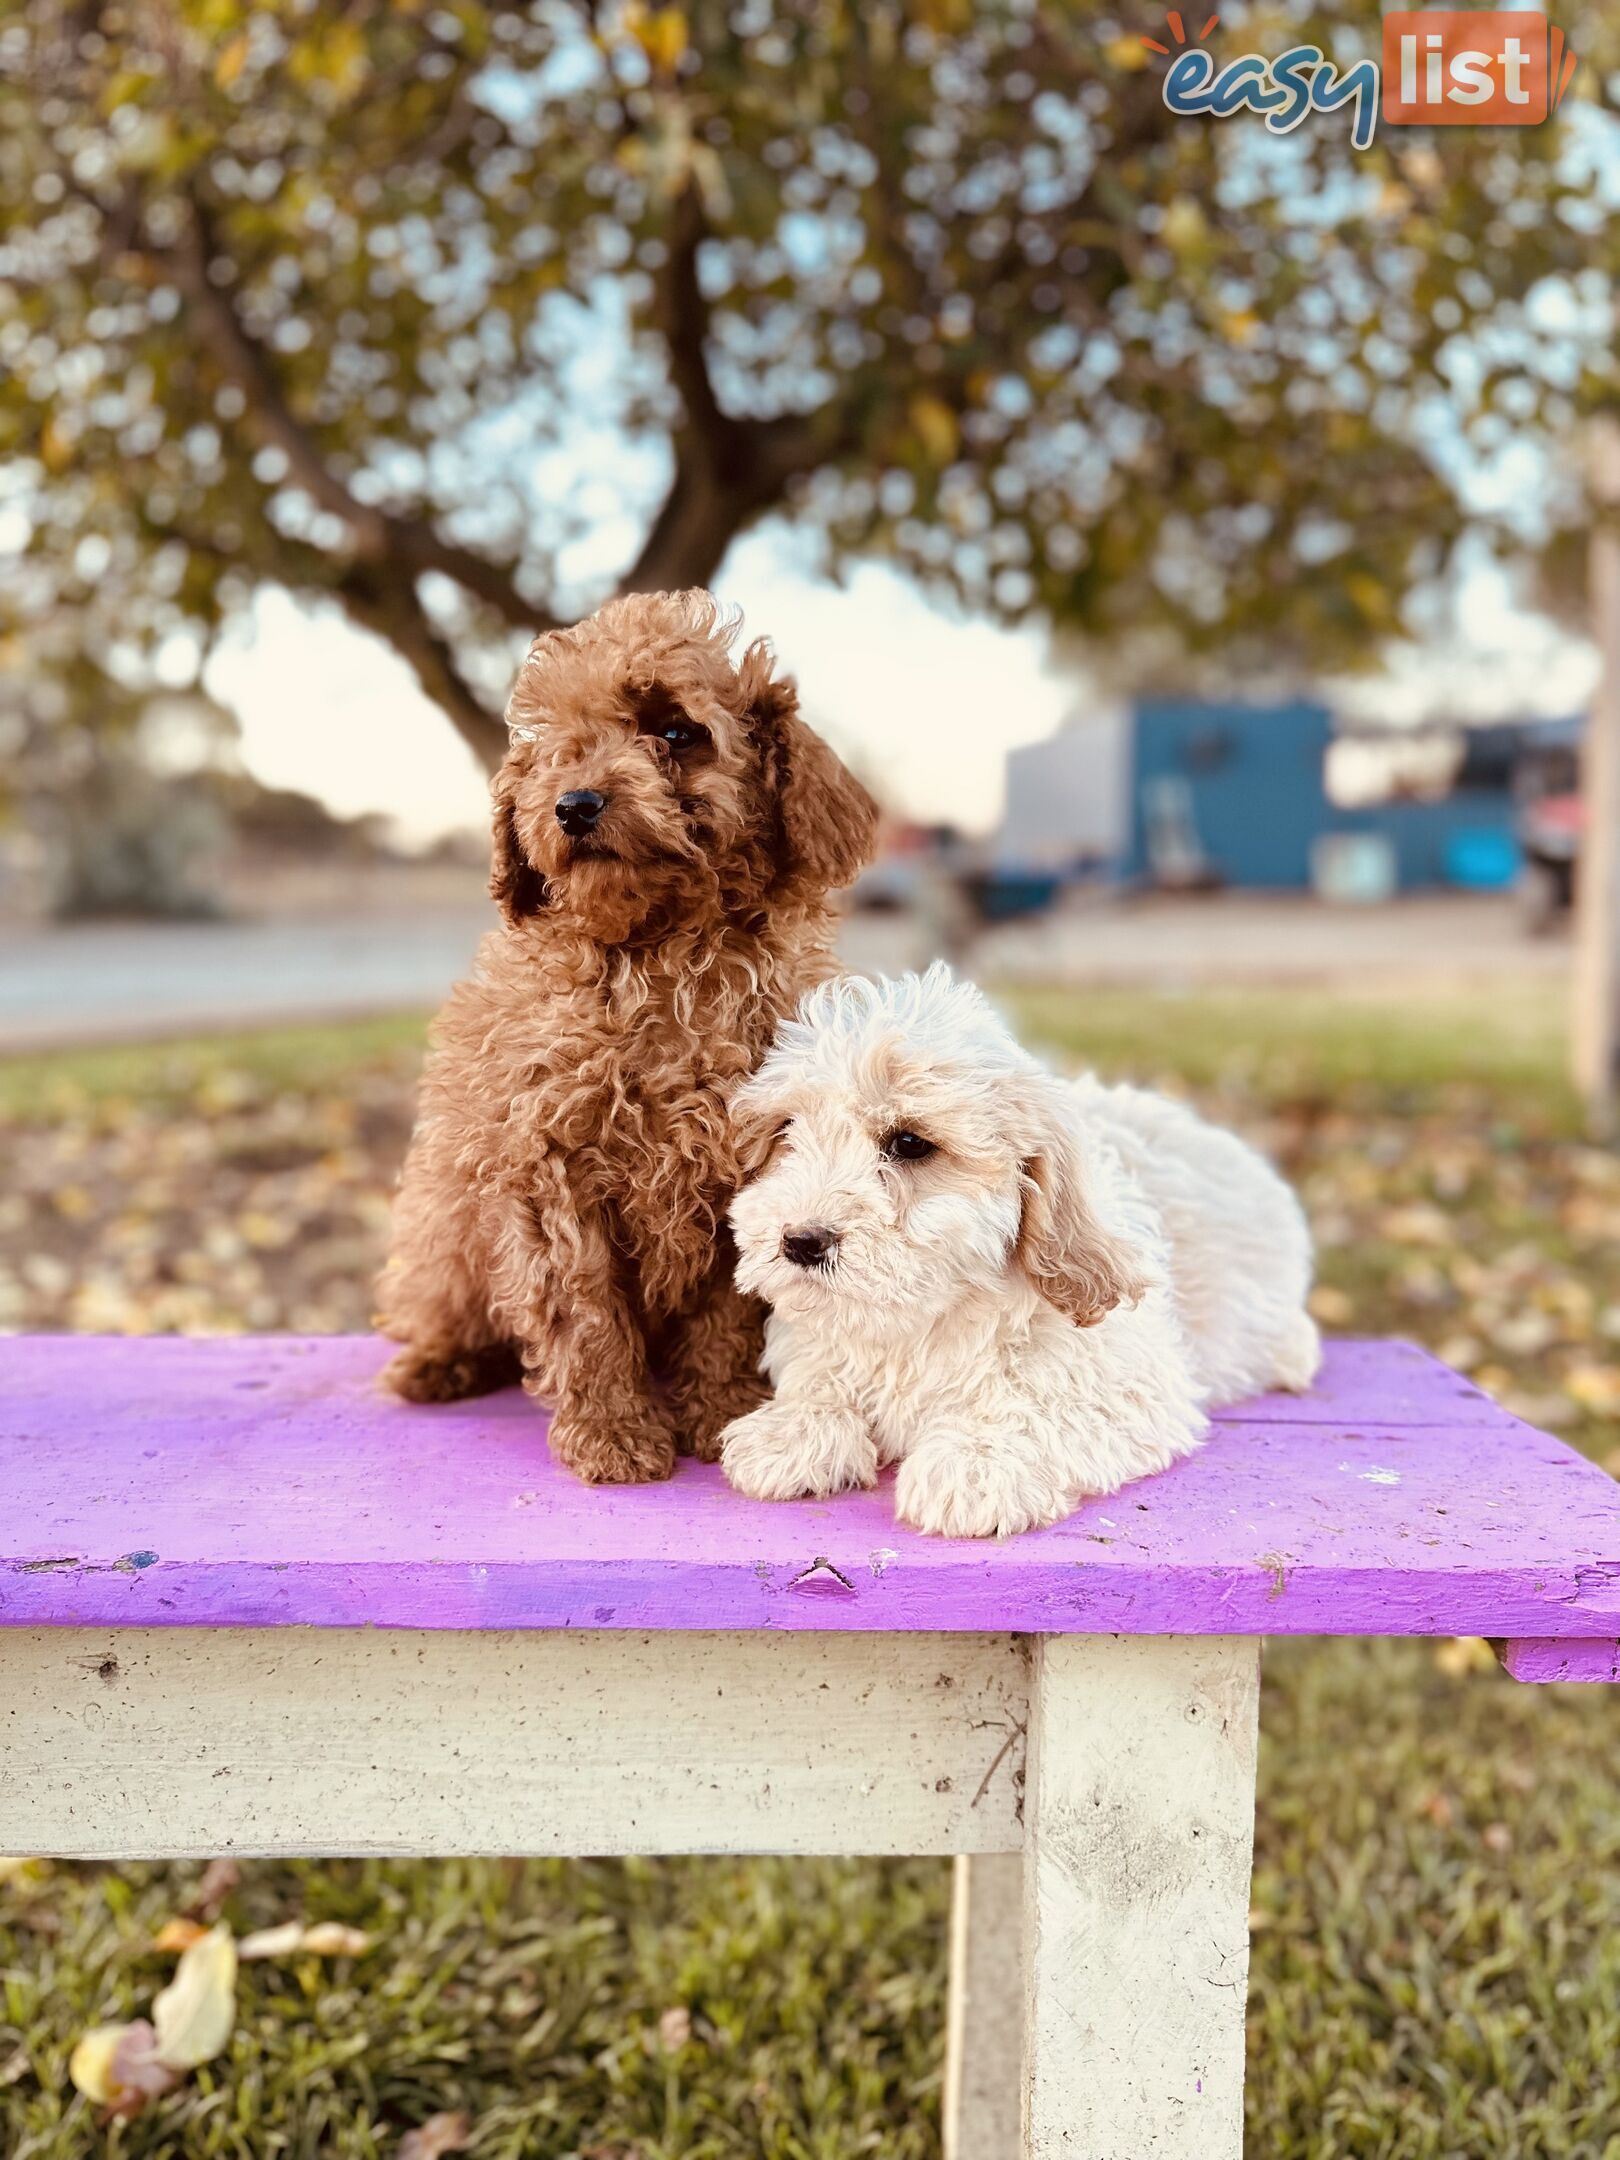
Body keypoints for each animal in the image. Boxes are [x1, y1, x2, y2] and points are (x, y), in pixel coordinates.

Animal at [380, 591, 881, 1486]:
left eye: (677, 732)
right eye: (557, 749)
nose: (573, 804)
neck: (658, 955)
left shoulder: (745, 1171)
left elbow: (728, 1312)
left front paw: (722, 1411)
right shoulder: (549, 1169)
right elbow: (584, 1315)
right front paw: (611, 1434)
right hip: (445, 1228)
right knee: (446, 1304)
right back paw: (441, 1363)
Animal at [721, 963, 1321, 1537]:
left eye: (909, 1143)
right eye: (787, 1130)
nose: (800, 1241)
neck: (922, 1323)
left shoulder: (1128, 1380)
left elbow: (1042, 1405)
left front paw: (977, 1460)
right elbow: (820, 1374)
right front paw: (792, 1426)